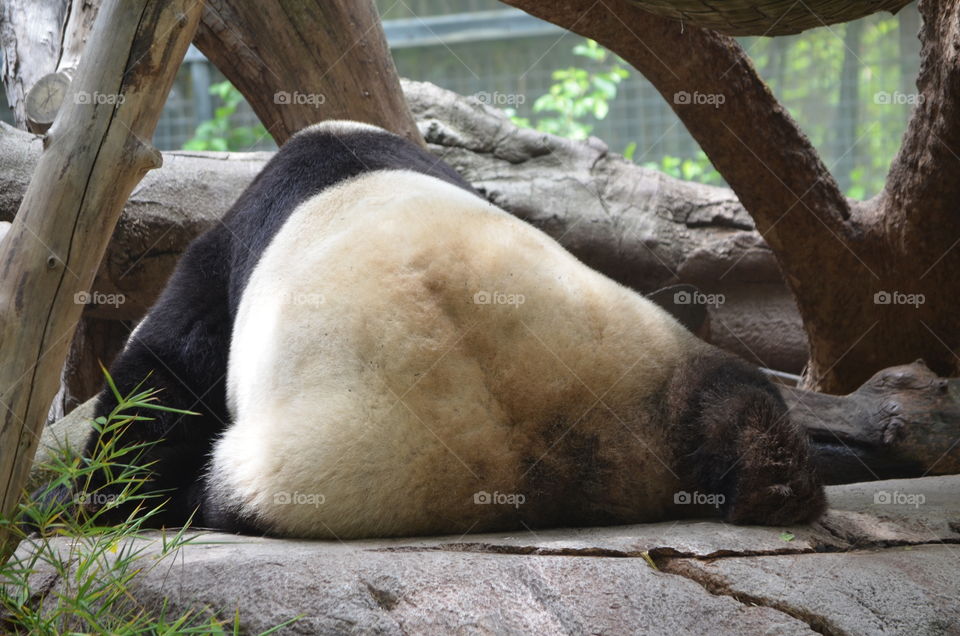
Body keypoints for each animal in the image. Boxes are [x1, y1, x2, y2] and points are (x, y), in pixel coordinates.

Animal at [60, 120, 825, 539]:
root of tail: (532, 461)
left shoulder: (221, 255)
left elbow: (165, 373)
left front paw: (95, 498)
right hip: (645, 360)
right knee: (736, 398)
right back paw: (774, 483)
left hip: (333, 461)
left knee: (233, 483)